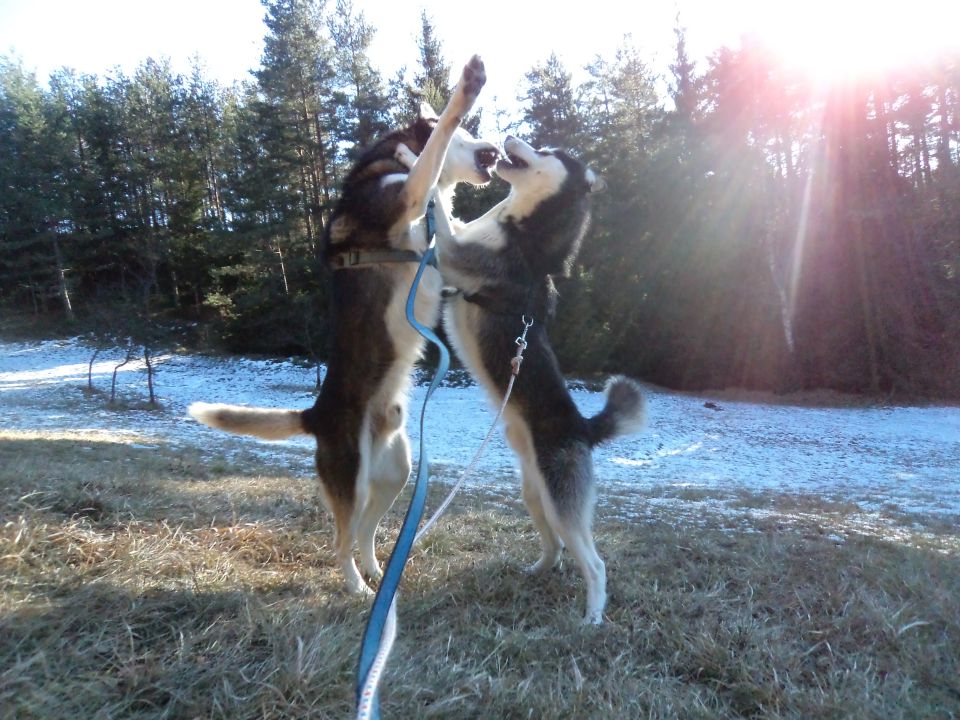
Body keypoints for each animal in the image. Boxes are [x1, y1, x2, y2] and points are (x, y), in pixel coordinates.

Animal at [192, 56, 498, 596]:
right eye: (469, 135)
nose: (497, 152)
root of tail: (315, 415)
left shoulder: (445, 239)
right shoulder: (408, 196)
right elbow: (431, 151)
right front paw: (462, 93)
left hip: (396, 471)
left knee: (365, 532)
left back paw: (378, 572)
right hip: (352, 475)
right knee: (340, 541)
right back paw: (358, 588)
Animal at [422, 136, 640, 624]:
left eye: (550, 152)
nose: (510, 139)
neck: (522, 233)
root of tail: (584, 429)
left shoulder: (456, 253)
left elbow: (441, 215)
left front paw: (424, 159)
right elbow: (449, 219)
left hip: (561, 503)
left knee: (594, 563)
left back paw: (592, 617)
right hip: (533, 495)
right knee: (555, 546)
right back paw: (538, 571)